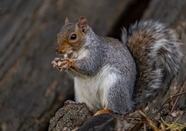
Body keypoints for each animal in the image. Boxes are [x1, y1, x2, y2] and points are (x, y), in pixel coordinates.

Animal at [51, 16, 183, 114]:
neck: (78, 52)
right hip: (81, 92)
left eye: (73, 36)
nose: (58, 50)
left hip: (114, 87)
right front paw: (57, 62)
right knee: (91, 106)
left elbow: (90, 67)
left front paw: (68, 62)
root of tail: (129, 102)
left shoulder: (98, 53)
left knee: (117, 110)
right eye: (57, 35)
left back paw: (104, 111)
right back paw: (75, 103)